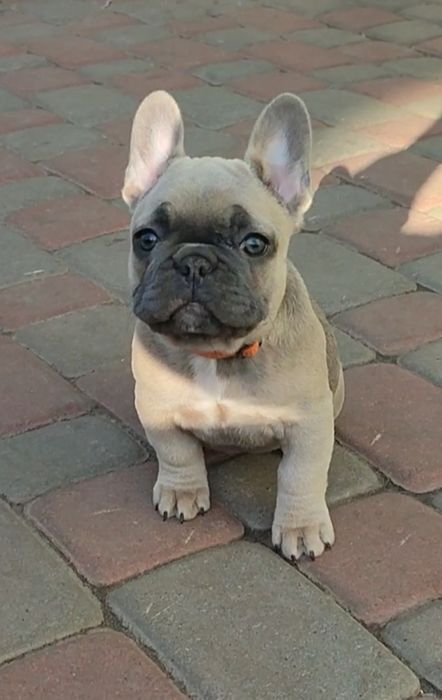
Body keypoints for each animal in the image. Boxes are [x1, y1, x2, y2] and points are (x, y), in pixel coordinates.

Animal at [122, 90, 344, 562]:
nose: (194, 260)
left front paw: (300, 527)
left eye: (254, 244)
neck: (216, 354)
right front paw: (182, 491)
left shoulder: (309, 422)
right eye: (146, 239)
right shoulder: (156, 408)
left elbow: (301, 474)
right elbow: (177, 451)